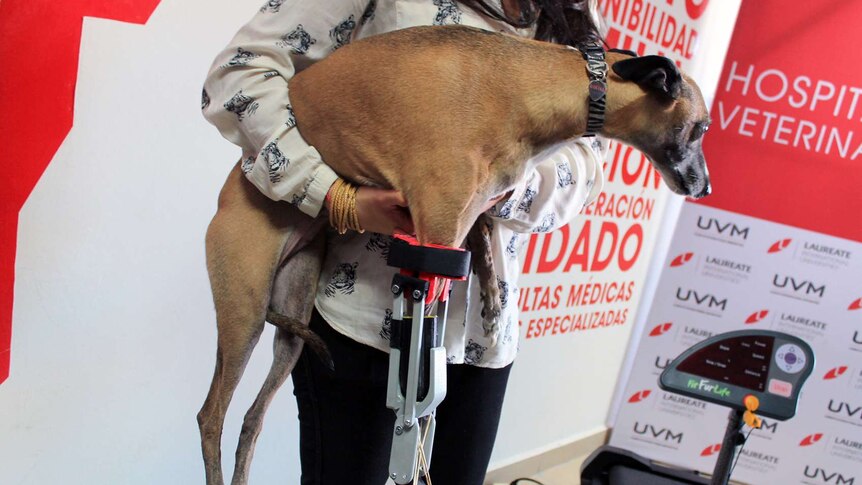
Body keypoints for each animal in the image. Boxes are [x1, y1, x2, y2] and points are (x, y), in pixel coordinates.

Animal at [199, 25, 712, 484]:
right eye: (702, 126)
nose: (706, 188)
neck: (527, 88)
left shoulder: (470, 216)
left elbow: (481, 245)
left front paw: (491, 304)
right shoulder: (434, 233)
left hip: (292, 323)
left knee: (251, 420)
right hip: (244, 313)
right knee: (211, 416)